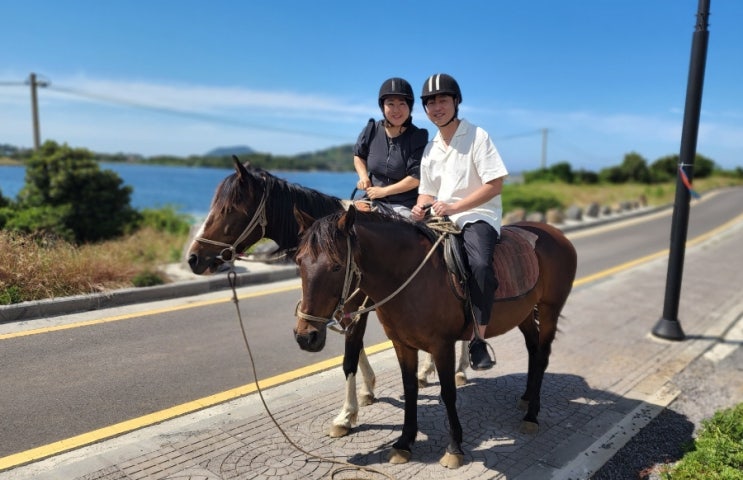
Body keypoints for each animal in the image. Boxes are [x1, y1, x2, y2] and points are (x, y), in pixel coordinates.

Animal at [186, 158, 464, 438]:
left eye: (229, 209)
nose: (193, 258)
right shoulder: (344, 311)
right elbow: (356, 351)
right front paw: (367, 389)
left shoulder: (356, 310)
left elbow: (349, 358)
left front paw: (346, 415)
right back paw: (426, 371)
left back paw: (459, 370)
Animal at [294, 207, 580, 468]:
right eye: (298, 261)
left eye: (336, 266)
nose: (305, 336)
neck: (410, 277)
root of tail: (557, 234)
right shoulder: (402, 344)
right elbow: (409, 388)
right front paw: (404, 442)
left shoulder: (442, 345)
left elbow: (448, 392)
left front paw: (454, 448)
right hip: (524, 313)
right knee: (533, 348)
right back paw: (527, 398)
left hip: (549, 309)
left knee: (542, 356)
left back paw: (531, 415)